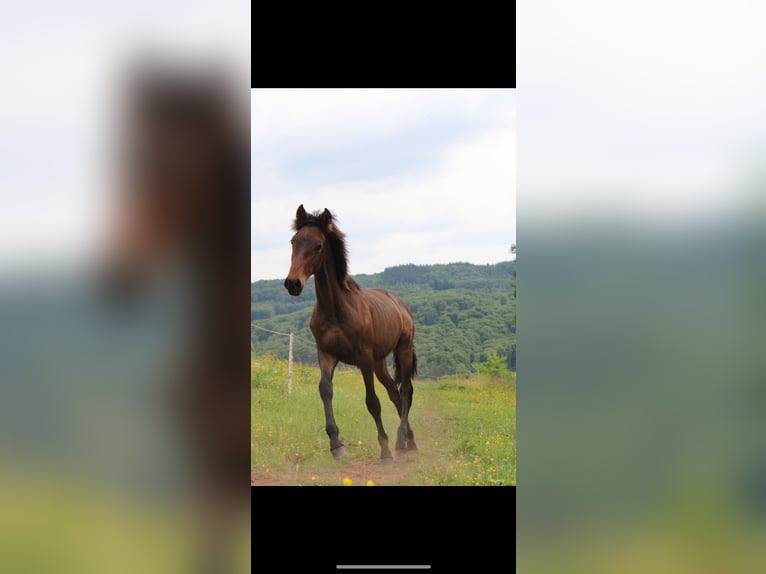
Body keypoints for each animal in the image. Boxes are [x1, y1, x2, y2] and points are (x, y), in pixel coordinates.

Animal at [284, 205, 418, 463]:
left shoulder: (363, 357)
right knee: (395, 394)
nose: (293, 283)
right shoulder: (326, 355)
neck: (336, 310)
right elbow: (325, 390)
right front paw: (336, 445)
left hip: (403, 350)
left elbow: (372, 402)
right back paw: (410, 442)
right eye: (294, 241)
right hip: (380, 363)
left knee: (405, 392)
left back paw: (399, 444)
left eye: (318, 245)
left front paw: (385, 452)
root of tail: (402, 305)